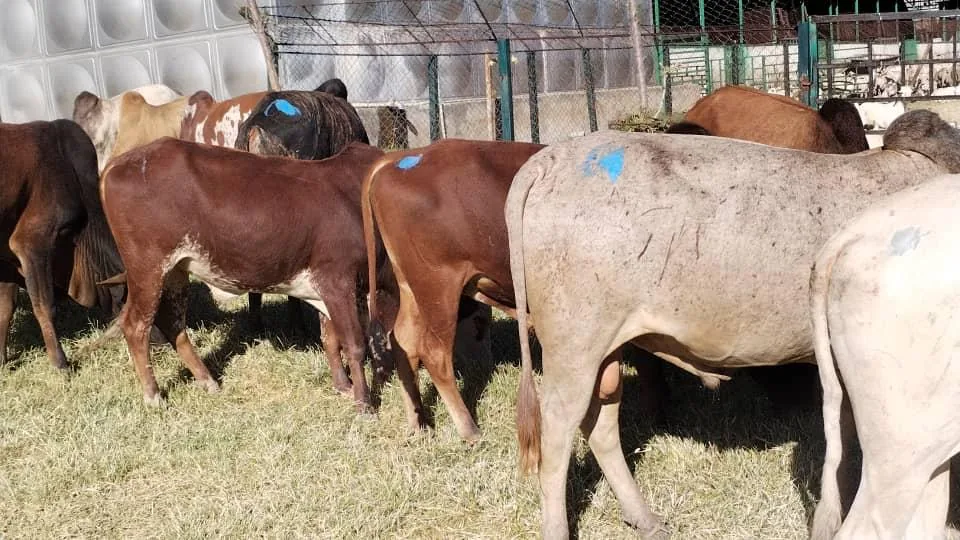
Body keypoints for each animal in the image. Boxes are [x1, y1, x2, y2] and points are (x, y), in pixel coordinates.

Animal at [99, 138, 394, 409]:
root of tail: (117, 163)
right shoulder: (338, 281)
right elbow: (354, 344)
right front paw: (364, 403)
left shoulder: (329, 287)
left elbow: (331, 340)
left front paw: (343, 385)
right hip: (148, 268)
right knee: (136, 327)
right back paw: (153, 396)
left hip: (175, 271)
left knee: (173, 324)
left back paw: (208, 381)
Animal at [364, 139, 545, 442]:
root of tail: (402, 157)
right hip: (439, 286)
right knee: (434, 353)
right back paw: (469, 429)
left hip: (412, 287)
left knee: (404, 341)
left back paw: (418, 422)